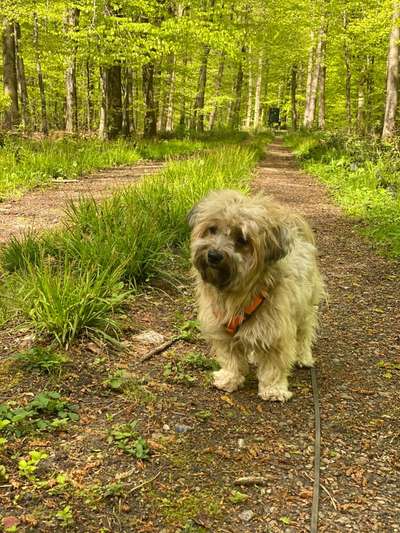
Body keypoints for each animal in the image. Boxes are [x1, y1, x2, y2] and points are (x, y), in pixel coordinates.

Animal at [188, 189, 324, 402]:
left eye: (243, 240)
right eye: (212, 229)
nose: (214, 255)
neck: (238, 296)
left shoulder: (276, 330)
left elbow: (274, 364)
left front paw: (274, 389)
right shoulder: (222, 328)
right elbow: (231, 358)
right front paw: (229, 378)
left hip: (305, 308)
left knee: (304, 334)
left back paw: (303, 357)